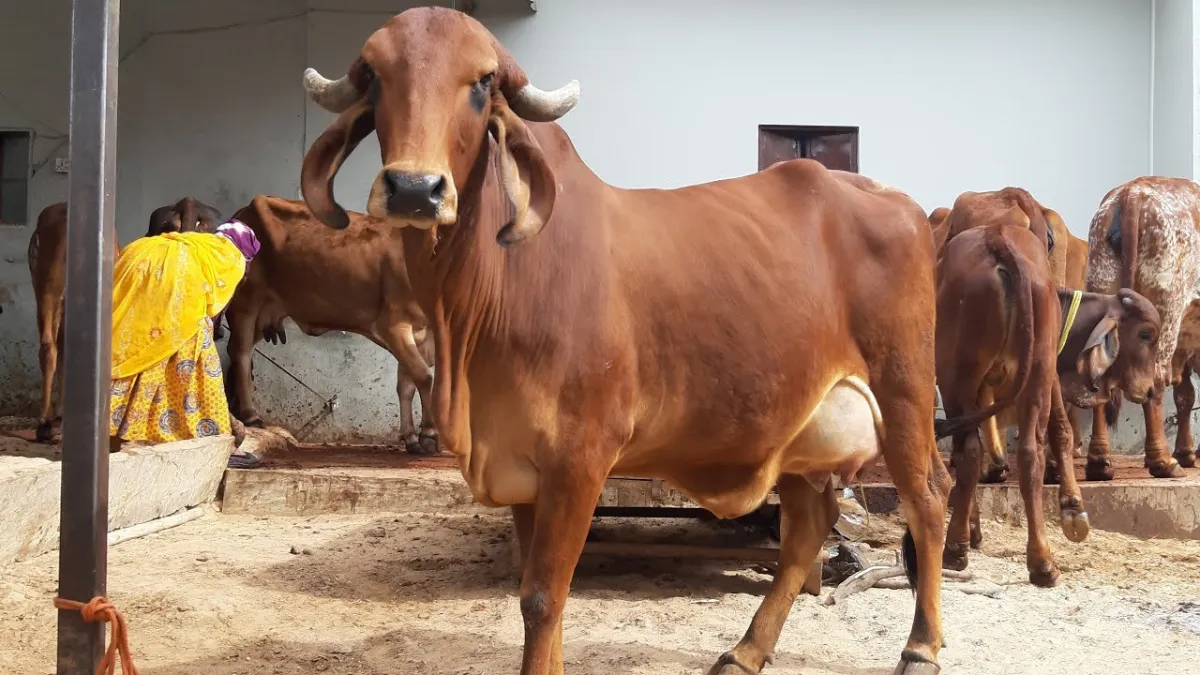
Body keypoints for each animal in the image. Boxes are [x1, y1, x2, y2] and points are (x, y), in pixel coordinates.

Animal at [221, 195, 439, 455]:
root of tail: (243, 211)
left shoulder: (419, 334)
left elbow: (407, 385)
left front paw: (413, 438)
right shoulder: (394, 325)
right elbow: (424, 377)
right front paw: (429, 435)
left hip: (264, 313)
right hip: (246, 303)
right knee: (241, 352)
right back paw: (250, 416)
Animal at [296, 7, 955, 674]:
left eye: (482, 82)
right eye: (375, 76)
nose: (414, 189)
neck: (485, 297)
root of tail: (899, 202)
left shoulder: (580, 459)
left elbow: (542, 597)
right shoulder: (523, 464)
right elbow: (541, 599)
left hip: (903, 392)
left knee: (929, 498)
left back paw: (920, 647)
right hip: (798, 427)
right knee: (807, 528)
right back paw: (747, 649)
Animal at [934, 222, 1161, 585]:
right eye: (1145, 334)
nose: (1150, 389)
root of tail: (998, 238)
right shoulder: (1048, 376)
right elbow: (1061, 431)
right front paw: (1072, 508)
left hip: (969, 376)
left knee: (981, 451)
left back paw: (964, 549)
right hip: (1015, 374)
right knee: (1023, 452)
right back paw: (1036, 561)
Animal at [1085, 176, 1200, 480]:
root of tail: (1133, 192)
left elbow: (1185, 395)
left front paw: (1185, 452)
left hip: (1101, 285)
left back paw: (1099, 463)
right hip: (1165, 313)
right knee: (1154, 382)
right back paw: (1163, 462)